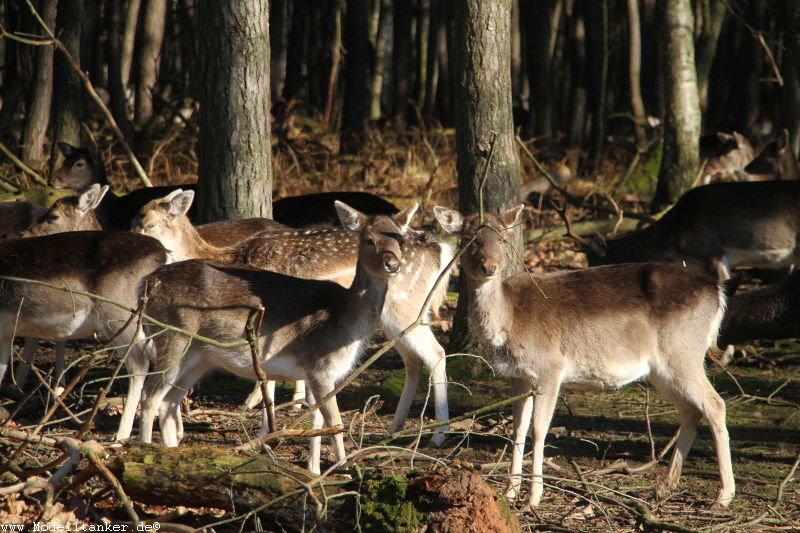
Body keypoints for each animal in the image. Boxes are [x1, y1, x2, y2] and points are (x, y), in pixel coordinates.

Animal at [134, 189, 454, 446]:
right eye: (136, 220)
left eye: (149, 224)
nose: (138, 246)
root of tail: (441, 250)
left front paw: (267, 429)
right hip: (397, 317)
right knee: (413, 359)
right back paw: (393, 429)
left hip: (405, 308)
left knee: (436, 353)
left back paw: (439, 435)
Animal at [434, 204, 736, 508]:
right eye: (468, 238)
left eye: (503, 238)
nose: (488, 267)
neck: (509, 321)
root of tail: (717, 292)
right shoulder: (518, 377)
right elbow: (517, 429)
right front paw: (510, 492)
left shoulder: (550, 368)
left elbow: (539, 429)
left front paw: (533, 498)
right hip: (660, 369)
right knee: (691, 409)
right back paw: (665, 486)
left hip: (683, 352)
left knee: (715, 404)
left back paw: (723, 495)